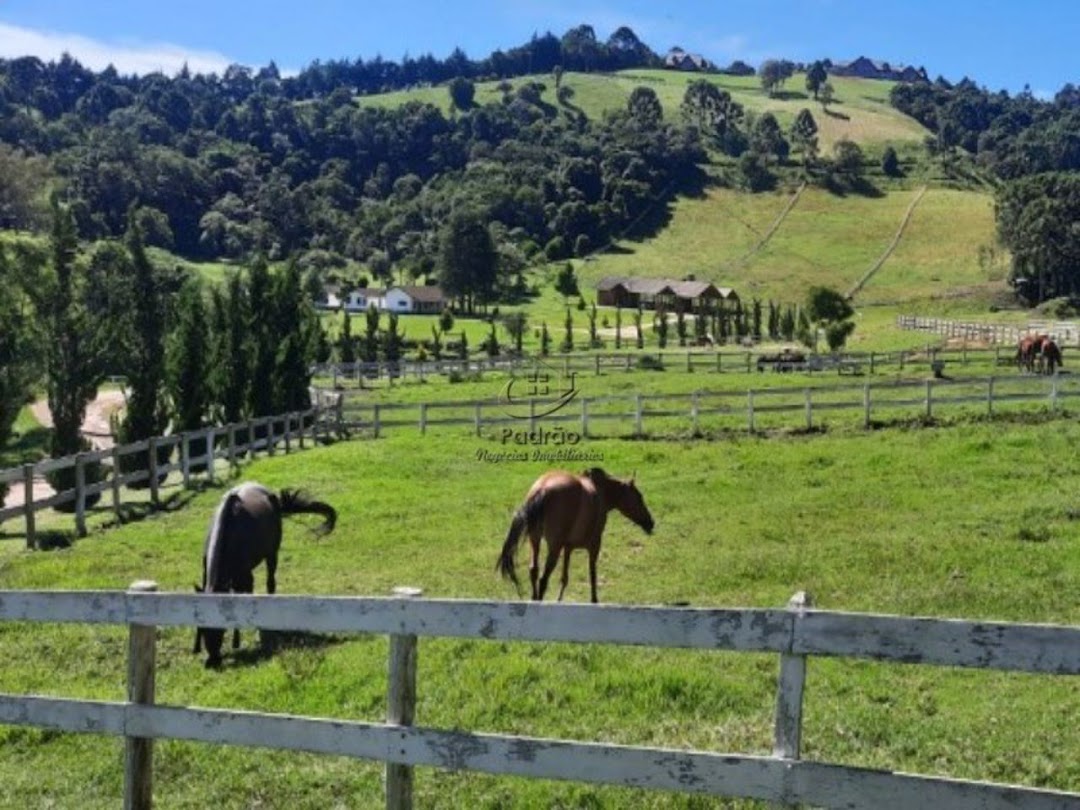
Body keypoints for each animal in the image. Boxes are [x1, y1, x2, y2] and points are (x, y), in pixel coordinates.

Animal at [194, 486, 334, 669]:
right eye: (202, 626)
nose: (212, 661)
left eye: (221, 626)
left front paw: (237, 641)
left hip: (271, 555)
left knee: (270, 584)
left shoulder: (244, 576)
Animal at [494, 466, 652, 604]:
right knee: (543, 579)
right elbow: (592, 575)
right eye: (639, 497)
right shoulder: (594, 545)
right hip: (554, 547)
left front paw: (559, 600)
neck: (600, 491)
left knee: (533, 570)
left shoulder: (568, 547)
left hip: (535, 540)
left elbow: (565, 578)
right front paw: (594, 600)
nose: (651, 523)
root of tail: (542, 489)